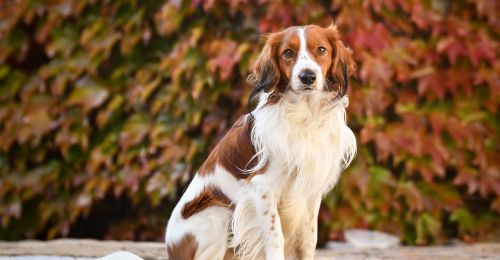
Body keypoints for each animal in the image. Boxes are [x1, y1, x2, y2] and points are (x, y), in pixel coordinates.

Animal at [166, 24, 358, 260]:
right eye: (288, 53)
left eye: (321, 49)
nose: (308, 77)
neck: (305, 117)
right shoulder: (262, 187)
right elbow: (275, 237)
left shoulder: (311, 192)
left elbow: (308, 240)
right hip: (218, 214)